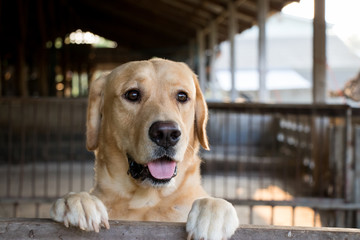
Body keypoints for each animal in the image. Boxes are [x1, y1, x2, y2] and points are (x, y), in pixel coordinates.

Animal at [49, 58, 238, 240]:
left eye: (182, 96)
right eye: (133, 94)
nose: (166, 133)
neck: (147, 201)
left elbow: (213, 202)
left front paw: (213, 214)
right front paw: (78, 201)